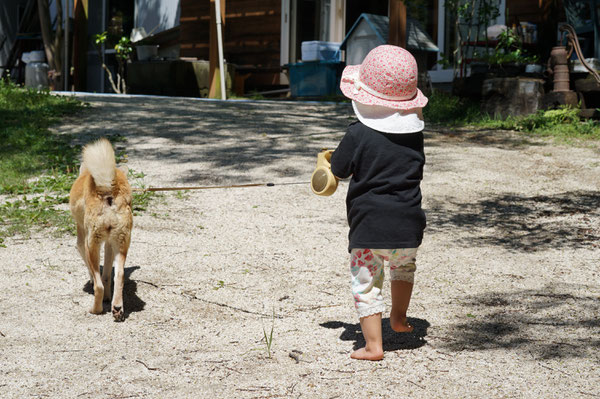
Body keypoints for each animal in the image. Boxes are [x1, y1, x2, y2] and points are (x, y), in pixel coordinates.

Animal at [69, 139, 132, 324]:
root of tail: (108, 188)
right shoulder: (109, 244)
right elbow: (107, 274)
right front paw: (108, 298)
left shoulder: (82, 242)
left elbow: (91, 269)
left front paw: (90, 280)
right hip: (121, 243)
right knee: (119, 276)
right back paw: (116, 307)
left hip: (92, 244)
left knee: (99, 286)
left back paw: (95, 309)